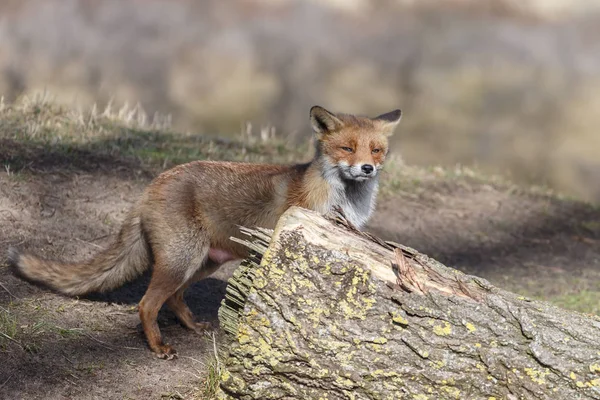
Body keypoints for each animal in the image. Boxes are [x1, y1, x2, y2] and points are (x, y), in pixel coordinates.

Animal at [7, 106, 400, 360]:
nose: (366, 168)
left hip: (202, 263)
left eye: (376, 150)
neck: (344, 202)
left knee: (175, 298)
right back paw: (158, 347)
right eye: (347, 148)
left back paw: (193, 327)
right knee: (147, 304)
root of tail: (152, 184)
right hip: (183, 259)